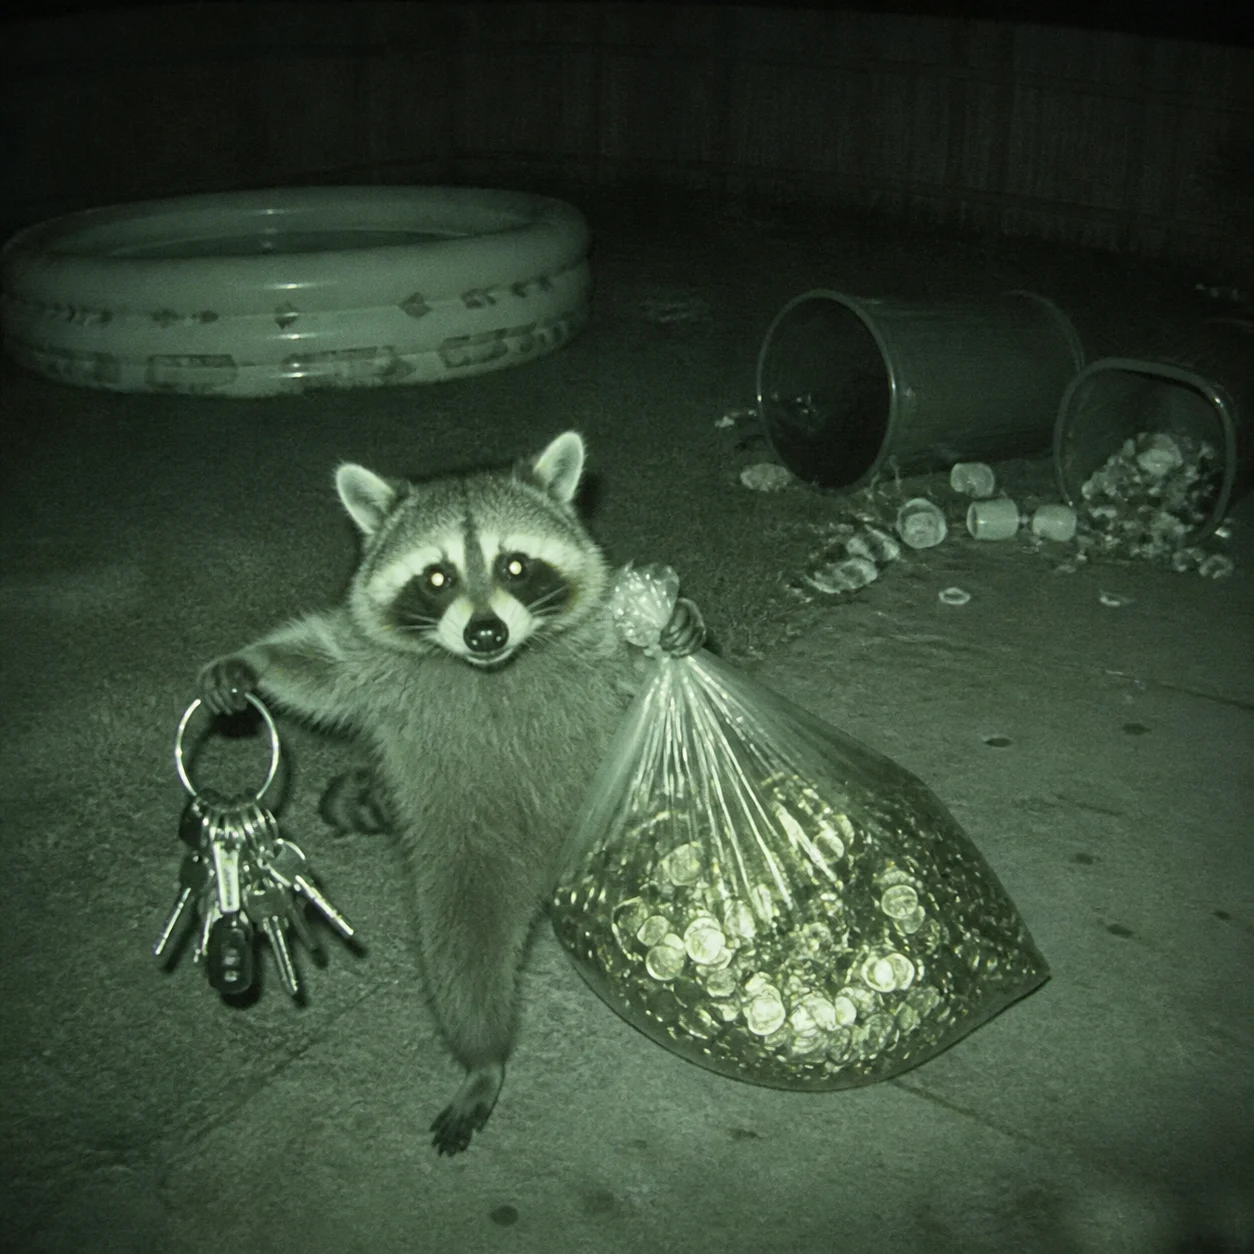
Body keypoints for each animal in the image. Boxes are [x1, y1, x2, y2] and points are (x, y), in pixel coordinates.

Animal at [198, 431, 702, 1155]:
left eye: (515, 566)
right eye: (437, 578)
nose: (486, 631)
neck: (492, 664)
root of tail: (551, 885)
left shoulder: (593, 649)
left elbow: (630, 658)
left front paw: (678, 619)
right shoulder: (373, 665)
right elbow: (318, 667)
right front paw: (257, 661)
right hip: (470, 866)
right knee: (463, 963)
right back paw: (483, 1059)